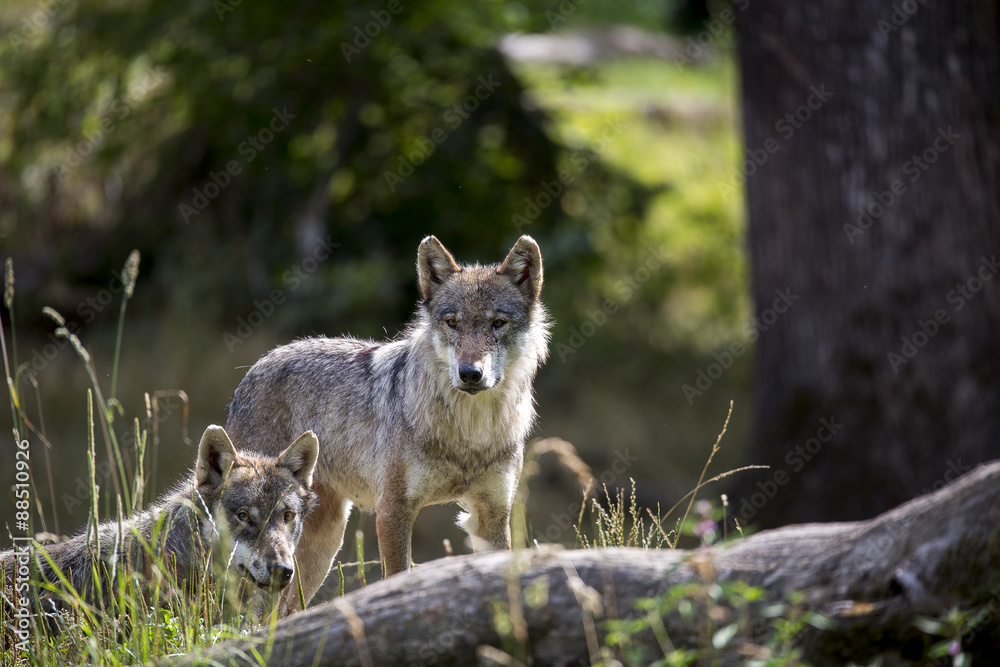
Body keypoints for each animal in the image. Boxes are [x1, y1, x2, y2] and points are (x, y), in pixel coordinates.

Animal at [225, 235, 550, 614]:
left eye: (497, 323)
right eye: (452, 323)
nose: (470, 374)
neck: (468, 434)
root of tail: (257, 365)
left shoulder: (493, 514)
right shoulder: (392, 511)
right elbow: (396, 578)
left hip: (321, 545)